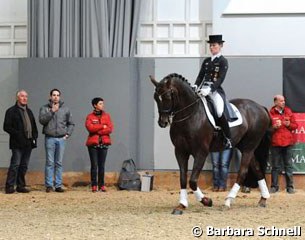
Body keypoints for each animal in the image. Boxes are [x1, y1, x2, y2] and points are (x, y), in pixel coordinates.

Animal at [151, 72, 270, 214]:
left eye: (168, 96)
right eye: (155, 98)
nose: (162, 122)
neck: (190, 115)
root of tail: (260, 107)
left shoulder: (201, 152)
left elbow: (192, 181)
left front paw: (206, 201)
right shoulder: (180, 151)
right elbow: (183, 178)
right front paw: (181, 205)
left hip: (249, 147)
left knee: (243, 172)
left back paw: (228, 201)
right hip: (245, 147)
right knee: (257, 168)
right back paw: (263, 199)